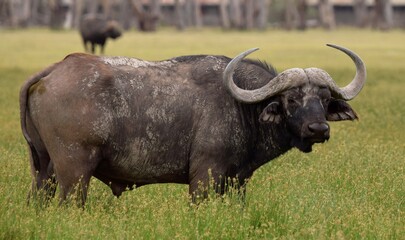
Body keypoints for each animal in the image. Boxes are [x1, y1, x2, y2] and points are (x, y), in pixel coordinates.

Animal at [19, 44, 366, 205]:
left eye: (324, 99)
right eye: (291, 99)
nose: (318, 130)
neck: (241, 105)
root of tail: (54, 70)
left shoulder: (238, 181)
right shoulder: (204, 177)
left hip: (43, 171)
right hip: (74, 173)